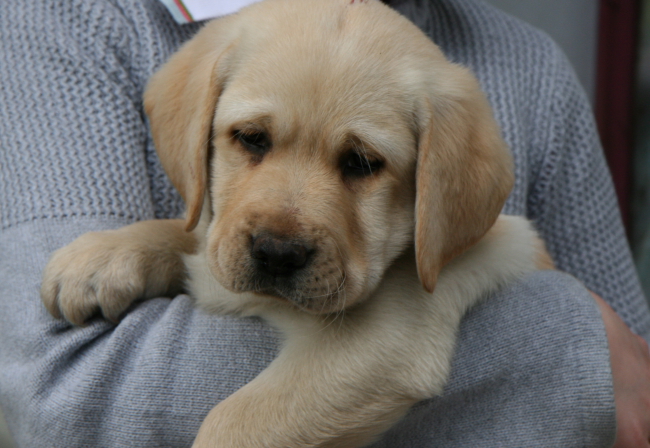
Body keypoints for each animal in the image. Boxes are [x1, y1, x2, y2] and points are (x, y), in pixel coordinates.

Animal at [40, 0, 548, 446]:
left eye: (363, 163)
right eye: (251, 138)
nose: (277, 254)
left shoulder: (382, 342)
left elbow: (232, 421)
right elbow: (188, 231)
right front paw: (101, 257)